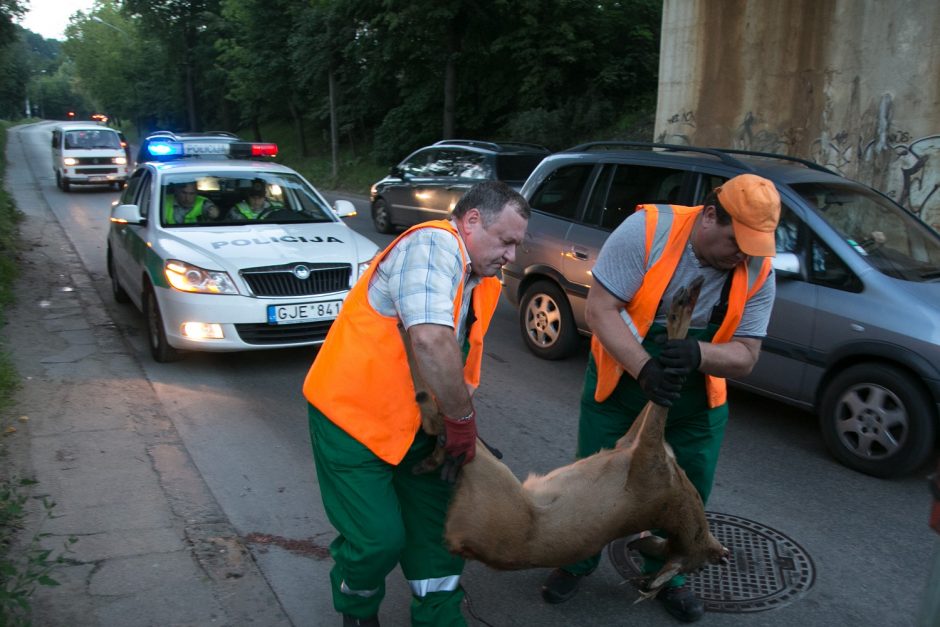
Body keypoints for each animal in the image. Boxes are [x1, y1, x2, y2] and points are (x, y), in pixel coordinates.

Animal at [400, 278, 732, 600]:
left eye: (697, 565)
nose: (722, 555)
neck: (675, 498)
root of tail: (461, 542)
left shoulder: (646, 461)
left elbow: (661, 403)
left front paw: (682, 311)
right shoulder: (631, 446)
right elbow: (659, 392)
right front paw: (684, 310)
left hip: (492, 481)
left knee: (435, 415)